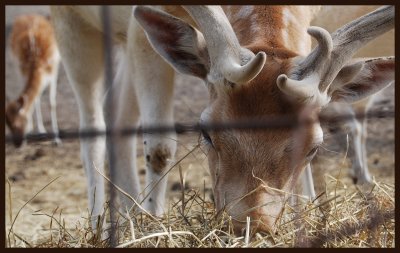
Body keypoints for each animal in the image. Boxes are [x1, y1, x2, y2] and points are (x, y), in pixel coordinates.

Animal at [5, 13, 61, 147]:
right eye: (8, 125)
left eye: (17, 124)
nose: (17, 144)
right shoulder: (23, 72)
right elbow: (32, 99)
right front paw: (32, 130)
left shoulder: (54, 71)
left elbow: (52, 103)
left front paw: (57, 139)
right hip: (17, 67)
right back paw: (40, 129)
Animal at [49, 5, 394, 235]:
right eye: (206, 132)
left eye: (313, 147)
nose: (249, 226)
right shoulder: (138, 34)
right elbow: (159, 147)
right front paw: (154, 226)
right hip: (72, 23)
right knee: (93, 125)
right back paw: (101, 224)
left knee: (117, 111)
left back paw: (129, 214)